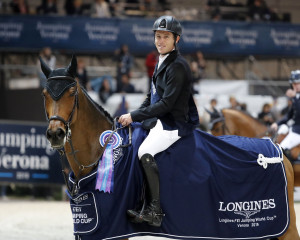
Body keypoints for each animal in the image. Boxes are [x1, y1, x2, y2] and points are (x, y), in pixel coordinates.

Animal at [41, 56, 298, 240]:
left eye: (71, 92)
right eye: (45, 94)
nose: (56, 133)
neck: (101, 151)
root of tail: (276, 152)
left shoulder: (110, 227)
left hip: (282, 228)